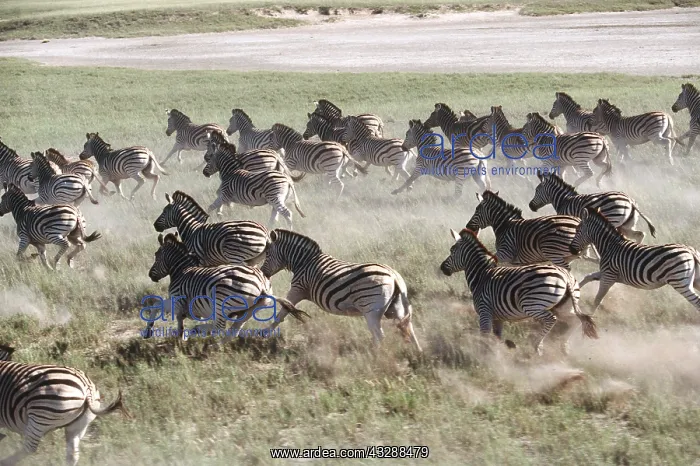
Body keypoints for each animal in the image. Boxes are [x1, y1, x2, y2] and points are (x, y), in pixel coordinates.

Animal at [0, 348, 130, 466]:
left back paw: (4, 462)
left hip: (39, 418)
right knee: (72, 455)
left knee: (29, 447)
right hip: (78, 425)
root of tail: (86, 386)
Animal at [146, 232, 308, 340]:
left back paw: (205, 342)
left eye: (156, 255)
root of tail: (262, 284)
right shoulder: (182, 305)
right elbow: (175, 316)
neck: (182, 271)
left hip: (221, 304)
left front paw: (150, 331)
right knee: (232, 331)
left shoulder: (177, 301)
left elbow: (157, 305)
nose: (150, 275)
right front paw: (179, 334)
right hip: (251, 309)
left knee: (220, 328)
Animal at [260, 229, 422, 351]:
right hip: (397, 308)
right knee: (409, 328)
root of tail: (394, 276)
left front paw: (265, 333)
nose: (263, 273)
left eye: (267, 254)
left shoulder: (297, 289)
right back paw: (418, 352)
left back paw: (376, 357)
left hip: (371, 311)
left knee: (380, 335)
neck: (303, 262)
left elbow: (283, 312)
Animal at [440, 228, 598, 355]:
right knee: (575, 321)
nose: (442, 268)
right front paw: (497, 355)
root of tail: (566, 277)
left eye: (452, 250)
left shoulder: (485, 311)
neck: (482, 275)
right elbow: (496, 337)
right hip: (564, 306)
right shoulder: (498, 317)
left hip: (532, 305)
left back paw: (537, 345)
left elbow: (484, 335)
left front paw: (484, 357)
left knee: (551, 319)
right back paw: (563, 346)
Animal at [570, 207, 700, 315]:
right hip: (694, 280)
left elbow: (597, 300)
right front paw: (573, 296)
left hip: (680, 282)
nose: (572, 250)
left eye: (577, 229)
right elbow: (589, 277)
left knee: (697, 302)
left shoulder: (609, 276)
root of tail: (690, 251)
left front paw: (586, 319)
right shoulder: (609, 274)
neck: (610, 246)